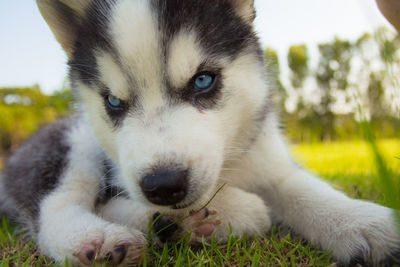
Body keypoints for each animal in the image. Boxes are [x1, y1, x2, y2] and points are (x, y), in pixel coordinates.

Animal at [0, 0, 398, 266]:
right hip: (76, 140)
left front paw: (361, 222)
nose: (162, 186)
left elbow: (300, 187)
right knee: (55, 208)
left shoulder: (265, 156)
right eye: (113, 102)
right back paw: (99, 239)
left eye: (203, 80)